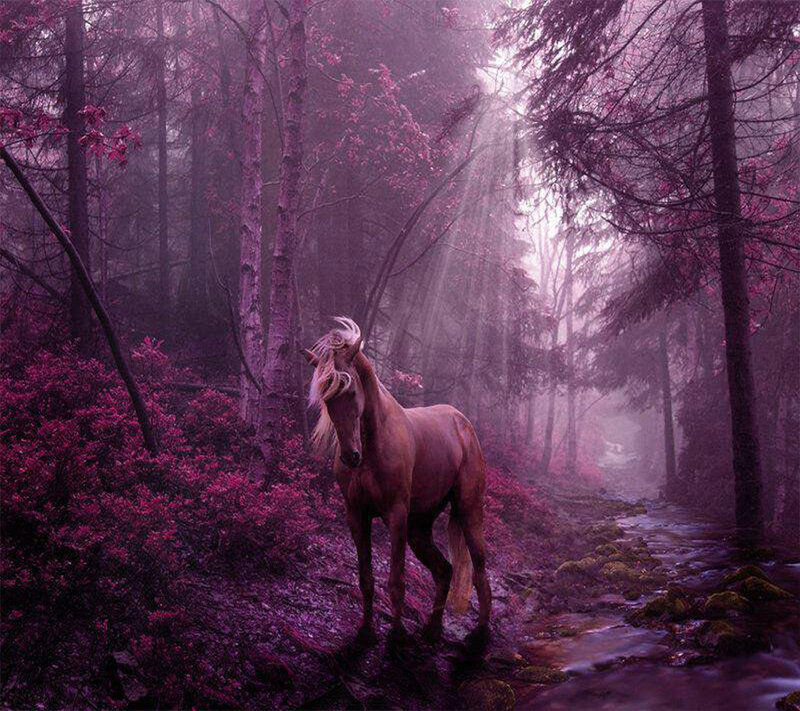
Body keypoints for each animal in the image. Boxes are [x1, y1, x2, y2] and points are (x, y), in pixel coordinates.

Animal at [302, 317, 491, 646]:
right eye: (327, 399)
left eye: (351, 393)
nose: (351, 456)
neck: (373, 446)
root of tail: (463, 423)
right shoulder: (357, 516)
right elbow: (366, 579)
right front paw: (366, 632)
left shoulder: (396, 516)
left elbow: (396, 581)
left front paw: (396, 637)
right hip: (420, 527)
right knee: (444, 570)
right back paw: (432, 630)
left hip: (468, 512)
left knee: (479, 569)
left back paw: (478, 635)